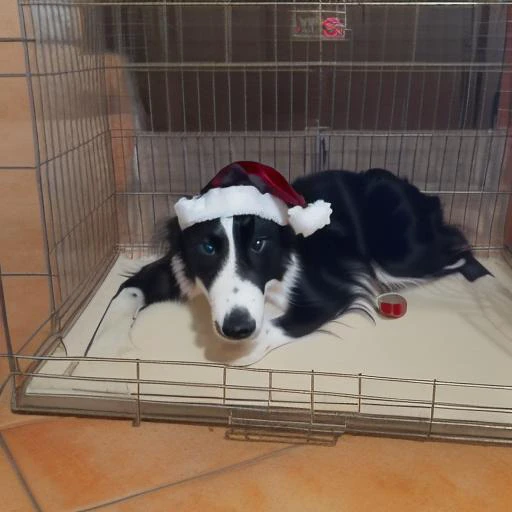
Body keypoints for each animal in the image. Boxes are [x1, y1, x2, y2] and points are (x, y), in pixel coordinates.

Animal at [107, 165, 488, 364]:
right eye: (208, 246)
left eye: (259, 243)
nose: (237, 327)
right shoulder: (177, 267)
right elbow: (125, 292)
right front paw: (109, 348)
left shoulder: (327, 293)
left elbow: (275, 328)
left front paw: (238, 351)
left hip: (401, 257)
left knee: (460, 247)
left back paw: (485, 280)